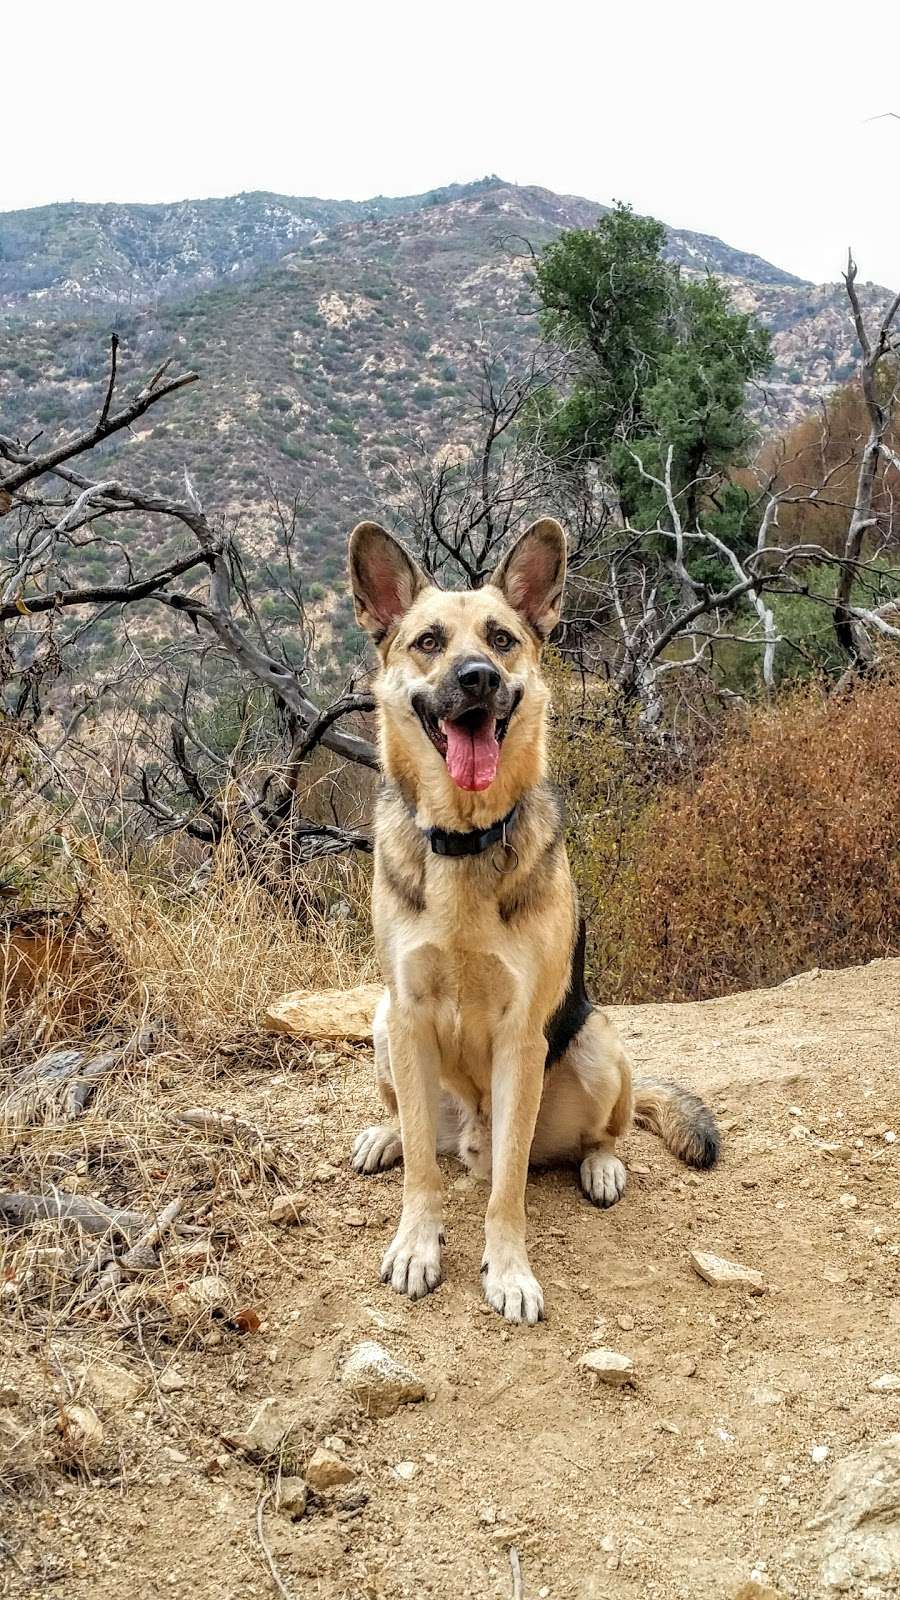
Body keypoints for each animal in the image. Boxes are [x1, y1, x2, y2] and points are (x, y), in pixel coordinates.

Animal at [344, 515, 714, 1324]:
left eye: (502, 638)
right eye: (428, 641)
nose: (478, 678)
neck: (465, 837)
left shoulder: (521, 1035)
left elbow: (509, 1188)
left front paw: (509, 1272)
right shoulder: (408, 1013)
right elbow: (423, 1173)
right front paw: (417, 1245)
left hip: (596, 1045)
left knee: (598, 1135)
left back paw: (602, 1167)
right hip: (384, 1025)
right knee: (421, 1137)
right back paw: (385, 1136)